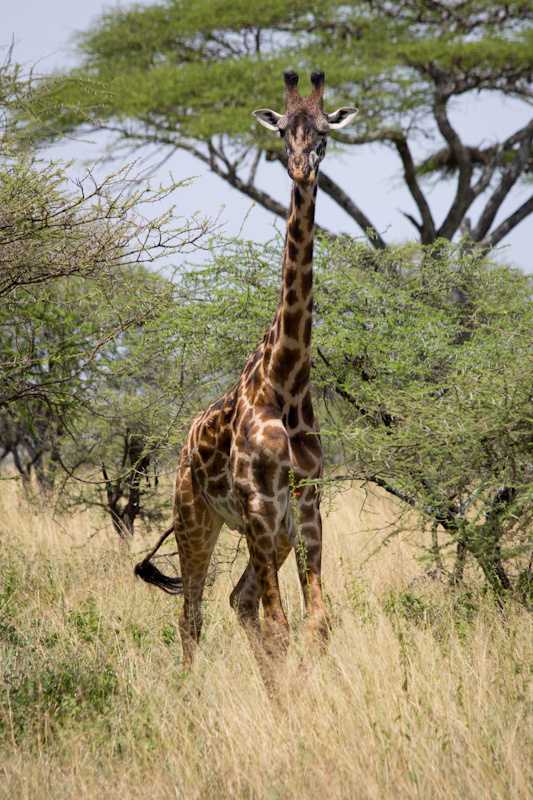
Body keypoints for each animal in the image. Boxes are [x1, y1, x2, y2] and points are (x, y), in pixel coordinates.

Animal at [134, 70, 358, 680]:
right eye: (282, 131)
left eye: (325, 129)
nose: (301, 167)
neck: (287, 378)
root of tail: (184, 442)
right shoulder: (259, 504)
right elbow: (283, 629)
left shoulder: (306, 502)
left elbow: (317, 624)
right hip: (194, 518)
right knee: (191, 613)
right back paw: (190, 697)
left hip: (270, 532)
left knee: (238, 603)